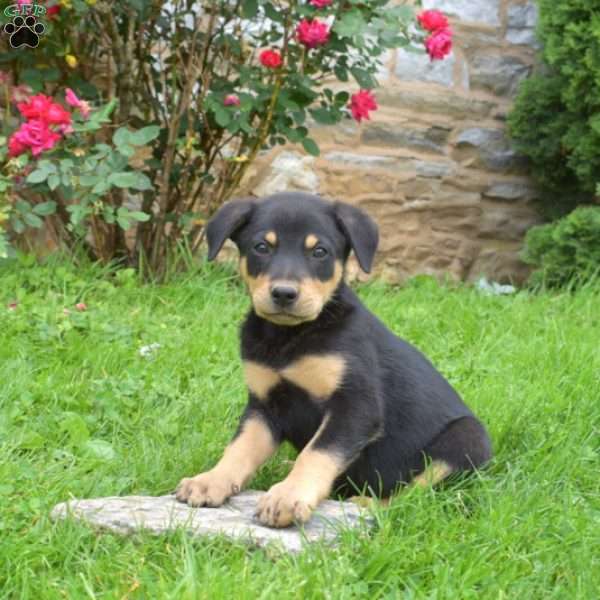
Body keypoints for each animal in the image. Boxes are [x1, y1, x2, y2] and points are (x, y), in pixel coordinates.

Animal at [175, 190, 492, 528]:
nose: (284, 294)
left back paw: (369, 502)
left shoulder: (356, 406)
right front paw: (210, 480)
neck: (288, 338)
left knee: (412, 495)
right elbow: (239, 448)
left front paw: (287, 497)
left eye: (320, 252)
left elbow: (317, 452)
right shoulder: (263, 405)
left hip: (467, 439)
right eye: (262, 247)